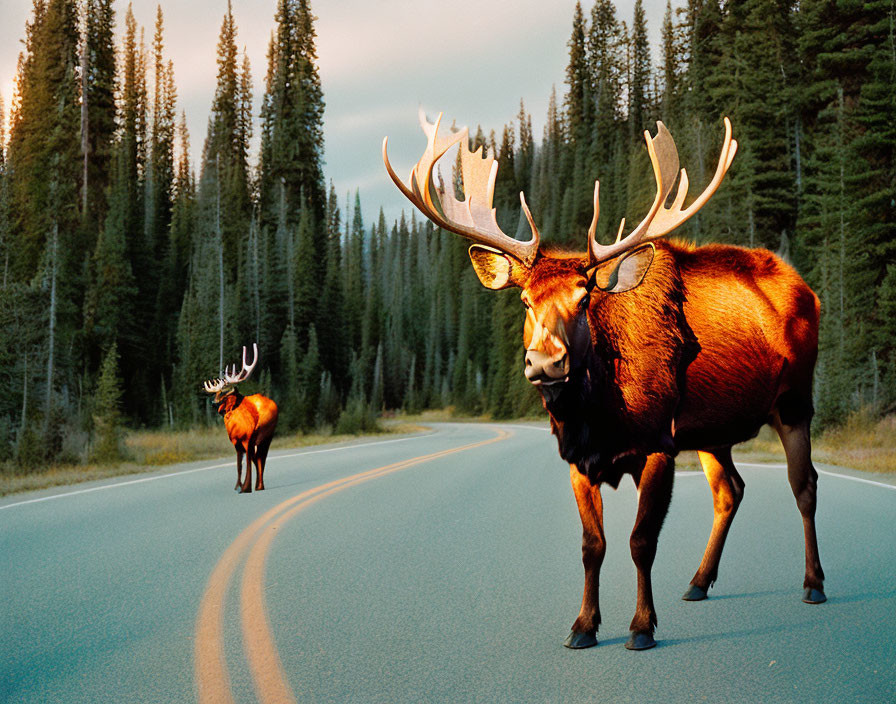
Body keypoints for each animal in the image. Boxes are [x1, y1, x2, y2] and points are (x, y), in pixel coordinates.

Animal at [205, 344, 278, 492]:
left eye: (224, 393)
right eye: (217, 392)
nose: (213, 403)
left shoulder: (247, 440)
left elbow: (248, 463)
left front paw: (245, 487)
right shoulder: (236, 443)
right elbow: (239, 465)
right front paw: (238, 486)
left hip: (267, 437)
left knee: (261, 458)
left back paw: (259, 485)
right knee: (258, 458)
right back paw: (259, 485)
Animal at [384, 111, 824, 656]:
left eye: (584, 297)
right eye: (525, 300)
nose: (545, 361)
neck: (598, 417)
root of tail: (807, 289)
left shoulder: (657, 444)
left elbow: (641, 541)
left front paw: (641, 626)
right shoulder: (577, 457)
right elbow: (592, 546)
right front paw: (583, 625)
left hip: (794, 400)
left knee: (804, 485)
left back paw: (813, 583)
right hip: (710, 431)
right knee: (731, 489)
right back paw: (699, 581)